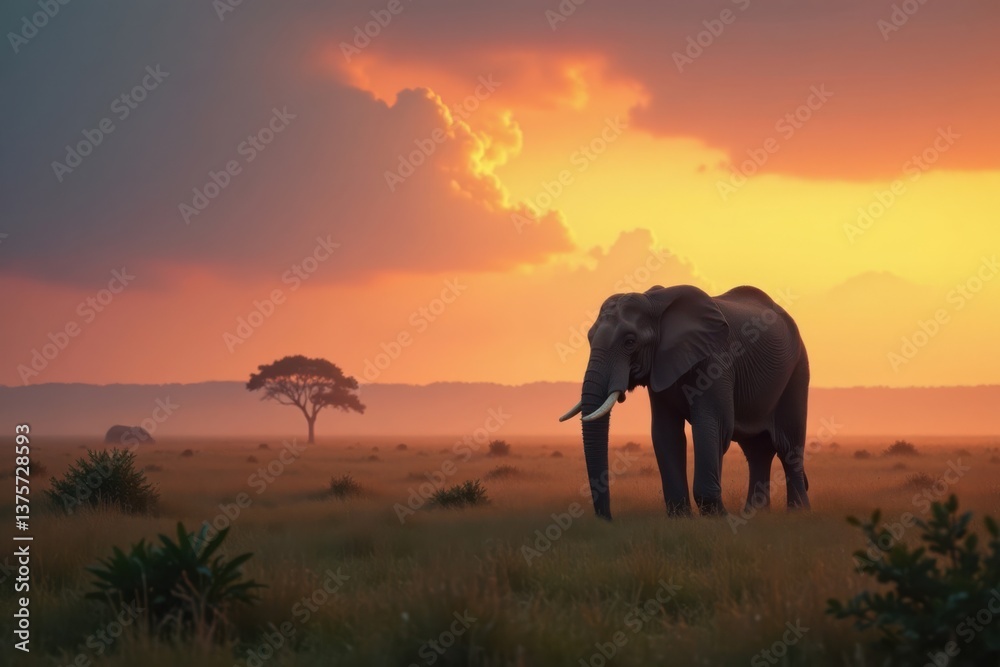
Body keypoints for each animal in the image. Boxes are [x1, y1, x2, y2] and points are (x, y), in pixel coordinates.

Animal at [558, 284, 810, 520]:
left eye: (630, 341)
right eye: (589, 338)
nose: (609, 519)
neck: (655, 304)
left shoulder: (716, 361)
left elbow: (712, 427)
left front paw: (718, 518)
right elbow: (666, 433)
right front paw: (681, 517)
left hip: (797, 371)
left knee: (788, 447)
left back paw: (797, 512)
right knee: (757, 450)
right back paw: (755, 514)